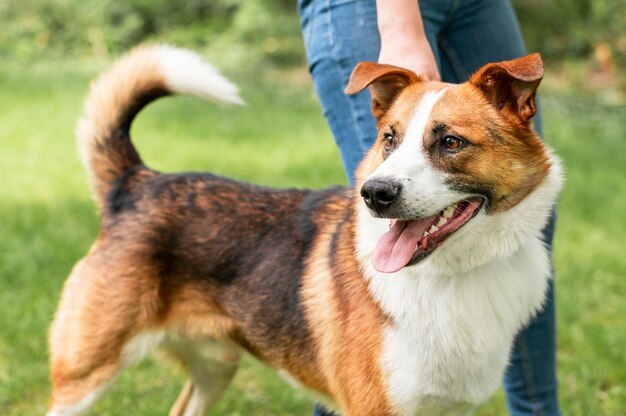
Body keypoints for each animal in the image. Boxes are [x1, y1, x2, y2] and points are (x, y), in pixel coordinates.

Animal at [45, 45, 560, 416]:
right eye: (388, 140)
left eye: (451, 142)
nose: (374, 193)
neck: (455, 275)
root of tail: (138, 181)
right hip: (84, 376)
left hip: (216, 366)